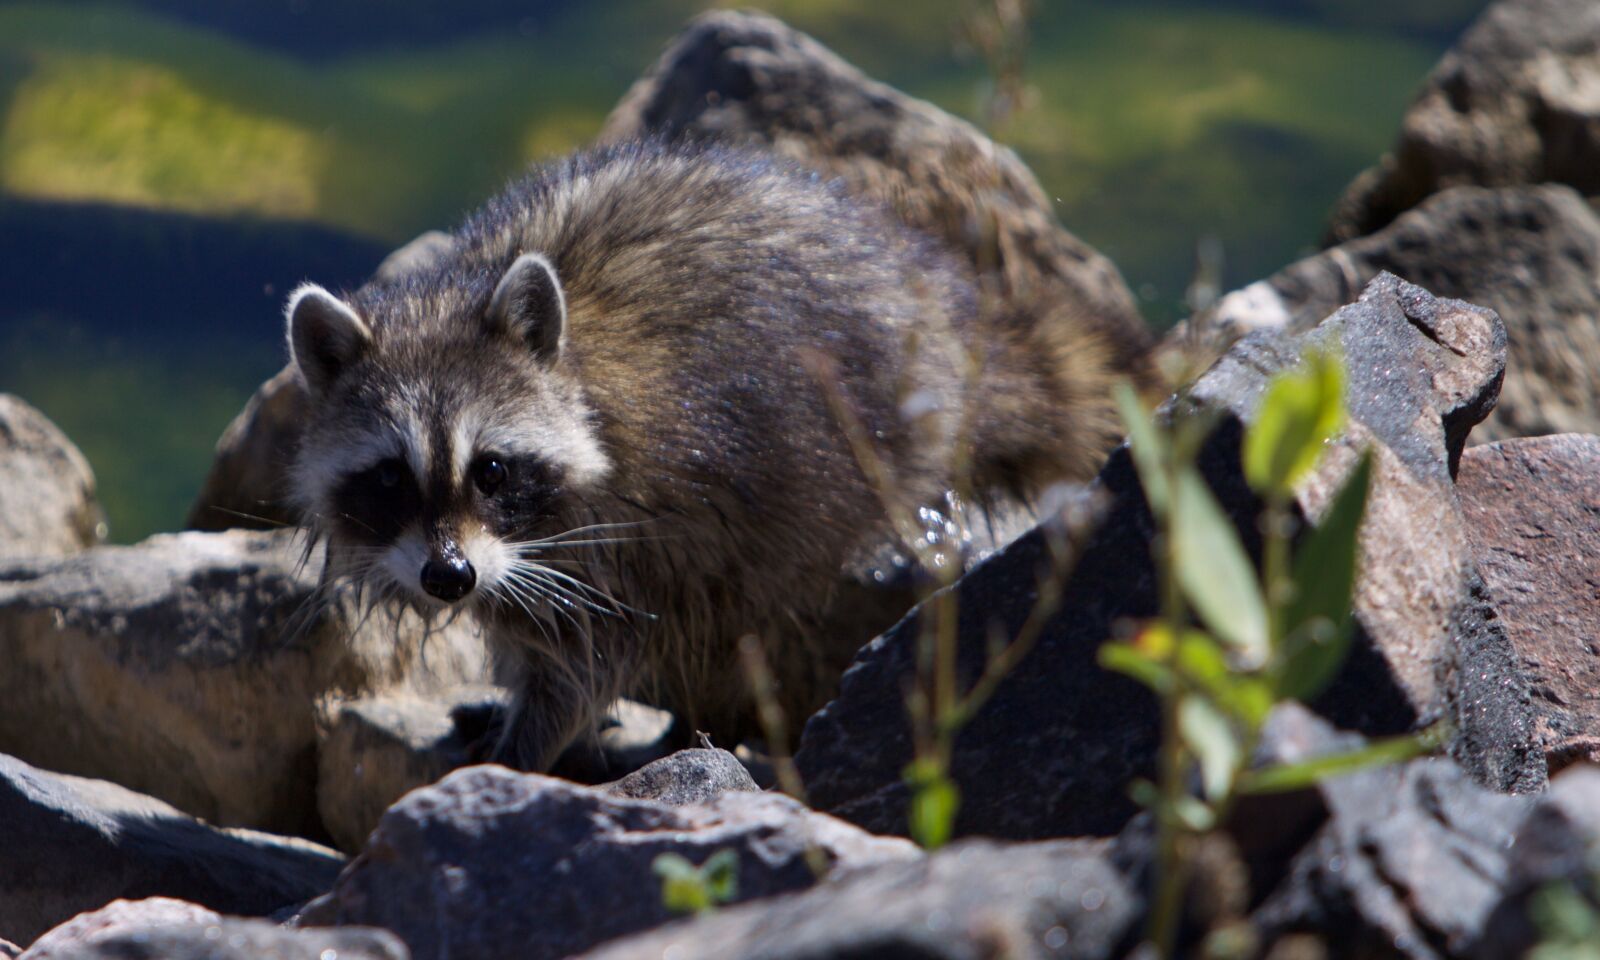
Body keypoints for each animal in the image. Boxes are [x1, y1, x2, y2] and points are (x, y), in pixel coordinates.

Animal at [286, 141, 1137, 771]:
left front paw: (527, 747)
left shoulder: (646, 510)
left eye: (491, 470)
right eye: (390, 478)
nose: (449, 577)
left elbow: (594, 654)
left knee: (742, 605)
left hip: (828, 461)